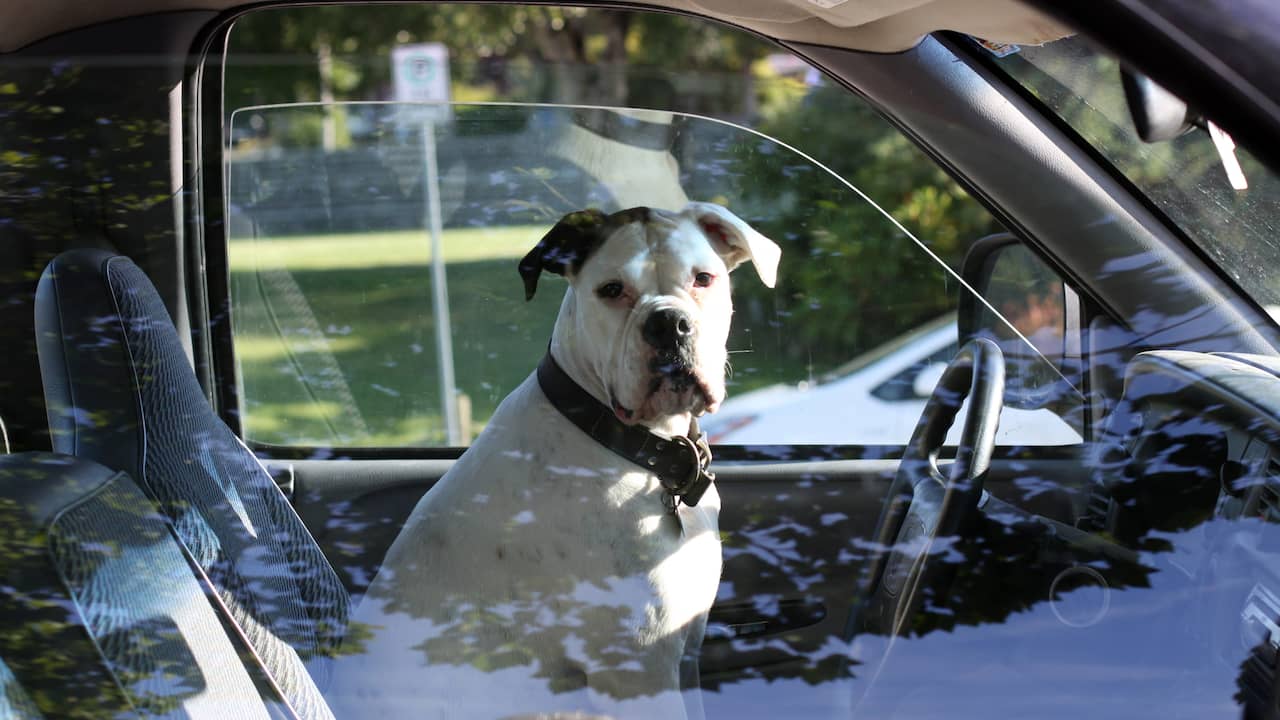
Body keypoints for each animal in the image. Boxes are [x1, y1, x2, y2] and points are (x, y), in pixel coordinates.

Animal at [325, 199, 778, 717]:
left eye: (704, 278)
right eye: (611, 290)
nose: (668, 323)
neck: (622, 440)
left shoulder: (684, 659)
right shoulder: (639, 673)